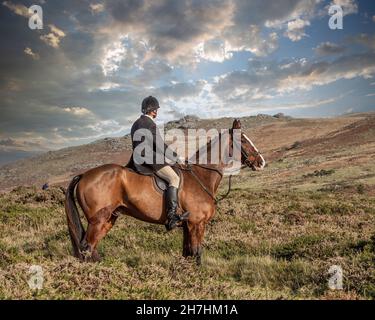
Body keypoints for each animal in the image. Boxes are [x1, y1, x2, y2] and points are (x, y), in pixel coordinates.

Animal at [64, 119, 266, 264]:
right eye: (243, 140)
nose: (261, 162)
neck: (201, 176)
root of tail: (83, 175)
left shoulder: (188, 226)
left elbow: (187, 253)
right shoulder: (196, 224)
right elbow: (197, 253)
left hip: (108, 219)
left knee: (91, 249)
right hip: (97, 220)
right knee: (86, 248)